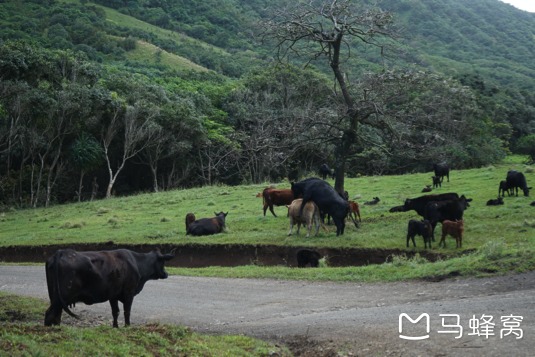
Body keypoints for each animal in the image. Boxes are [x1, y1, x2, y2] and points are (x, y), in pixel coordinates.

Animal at [44, 248, 174, 326]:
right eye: (163, 262)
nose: (166, 274)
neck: (136, 262)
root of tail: (62, 252)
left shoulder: (113, 295)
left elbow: (115, 312)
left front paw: (115, 327)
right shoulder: (129, 293)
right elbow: (127, 311)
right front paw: (127, 326)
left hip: (55, 297)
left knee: (56, 314)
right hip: (62, 296)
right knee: (50, 313)